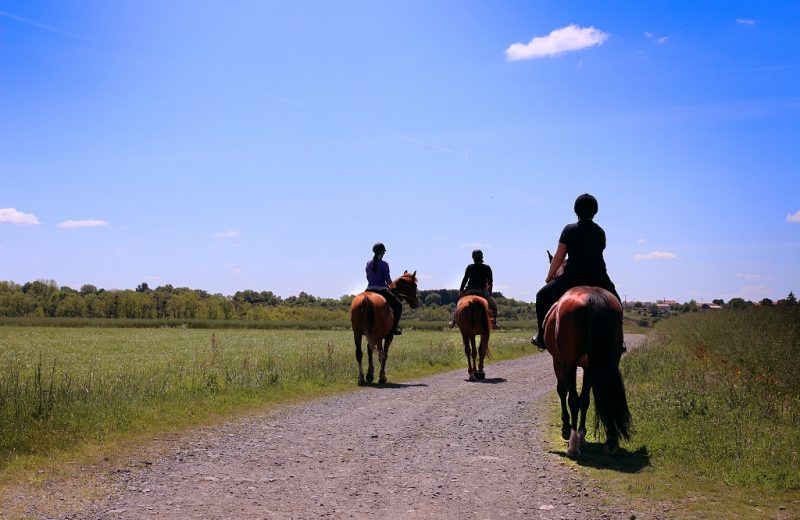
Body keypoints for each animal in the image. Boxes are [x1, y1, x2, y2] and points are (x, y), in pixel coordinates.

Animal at [544, 284, 632, 456]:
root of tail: (592, 296)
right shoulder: (589, 367)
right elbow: (585, 399)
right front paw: (582, 434)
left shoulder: (559, 362)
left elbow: (563, 391)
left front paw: (567, 429)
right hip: (607, 361)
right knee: (599, 396)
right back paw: (611, 440)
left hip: (569, 363)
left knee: (572, 399)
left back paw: (573, 444)